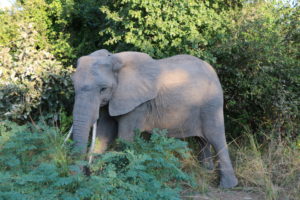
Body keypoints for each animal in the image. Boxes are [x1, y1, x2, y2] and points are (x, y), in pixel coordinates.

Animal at [71, 48, 238, 188]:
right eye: (74, 86)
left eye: (103, 89)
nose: (84, 175)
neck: (115, 60)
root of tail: (212, 70)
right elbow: (104, 134)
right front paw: (96, 177)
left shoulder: (137, 104)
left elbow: (125, 137)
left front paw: (123, 180)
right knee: (202, 140)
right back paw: (206, 172)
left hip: (212, 103)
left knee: (215, 136)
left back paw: (227, 186)